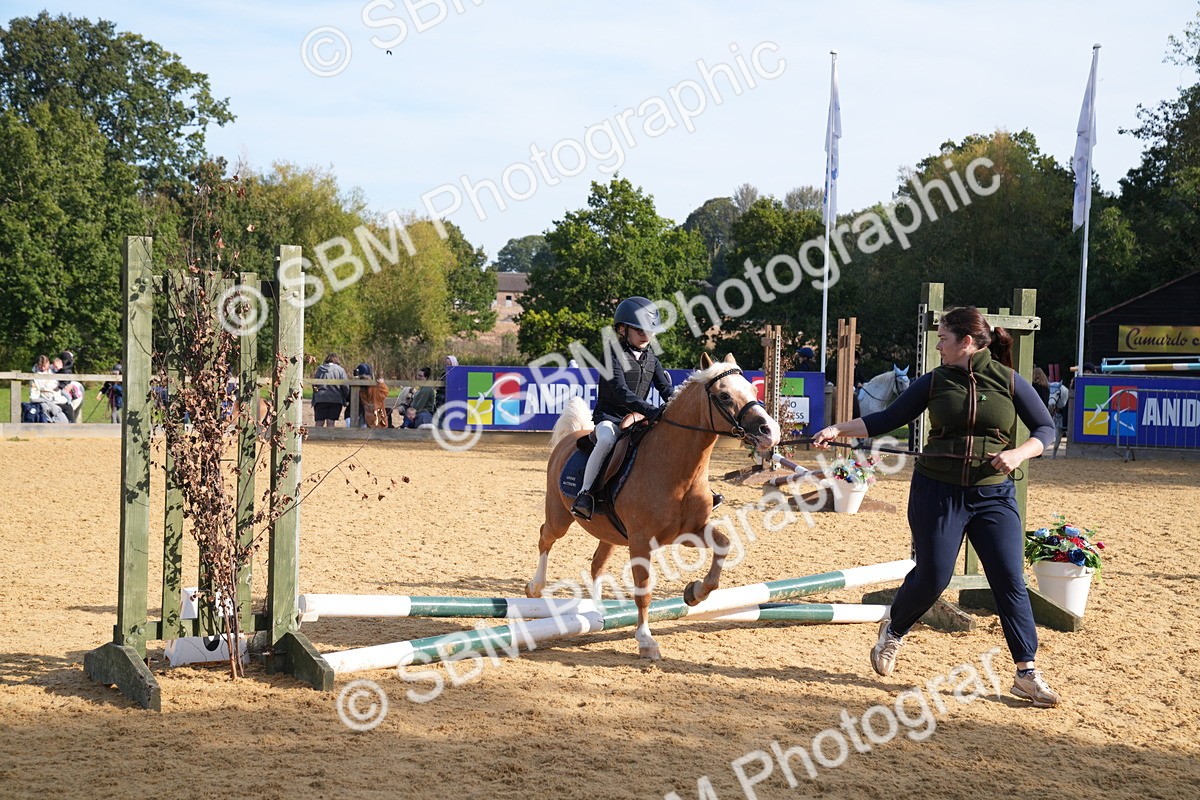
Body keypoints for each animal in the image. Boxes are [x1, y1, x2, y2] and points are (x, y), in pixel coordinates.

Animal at [526, 353, 781, 660]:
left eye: (753, 390)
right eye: (724, 395)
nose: (771, 432)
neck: (678, 470)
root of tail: (571, 437)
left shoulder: (689, 533)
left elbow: (723, 546)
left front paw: (694, 593)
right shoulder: (641, 541)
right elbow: (643, 590)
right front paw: (646, 641)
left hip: (609, 534)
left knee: (597, 563)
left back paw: (597, 609)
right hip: (560, 516)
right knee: (545, 536)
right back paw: (535, 587)